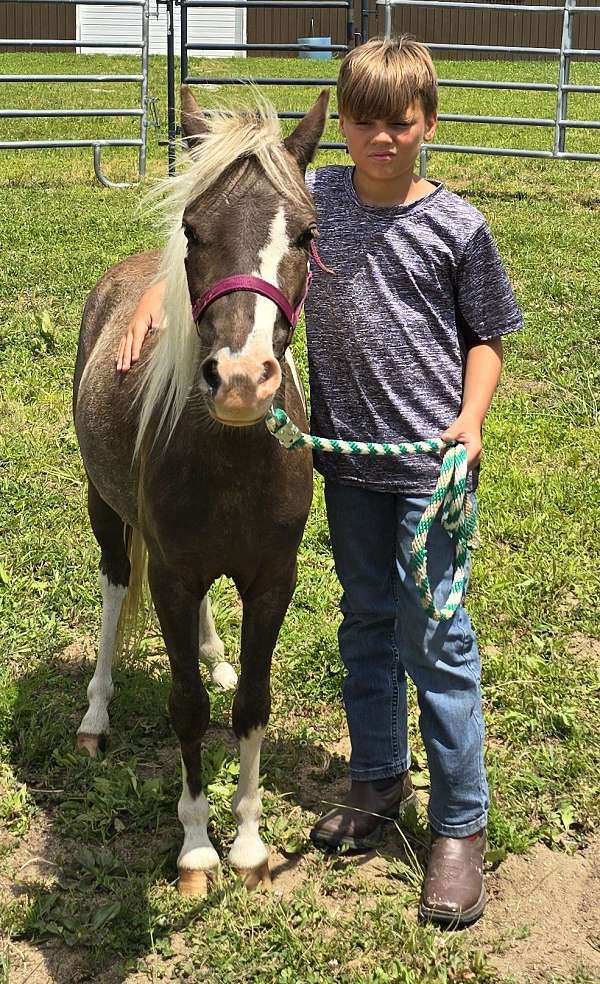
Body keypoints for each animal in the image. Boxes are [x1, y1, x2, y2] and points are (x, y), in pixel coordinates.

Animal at [72, 85, 329, 895]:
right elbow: (186, 710)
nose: (242, 380)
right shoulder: (174, 577)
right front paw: (195, 847)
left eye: (306, 235)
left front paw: (247, 841)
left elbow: (249, 705)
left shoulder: (270, 578)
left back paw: (216, 655)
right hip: (106, 514)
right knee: (115, 590)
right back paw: (95, 716)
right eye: (192, 228)